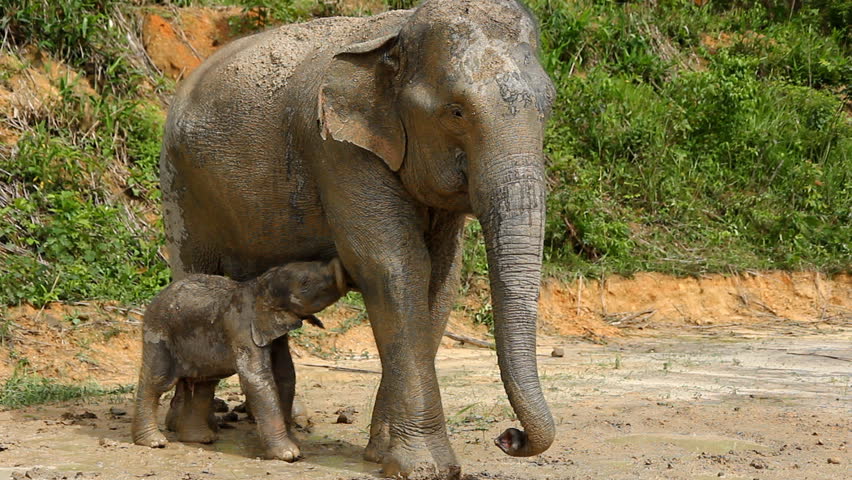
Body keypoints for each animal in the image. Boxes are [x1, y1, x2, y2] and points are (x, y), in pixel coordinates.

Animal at [131, 258, 344, 462]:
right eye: (305, 282)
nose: (338, 263)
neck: (259, 286)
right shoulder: (242, 328)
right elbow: (256, 380)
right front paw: (289, 455)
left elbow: (285, 374)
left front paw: (293, 445)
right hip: (159, 332)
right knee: (158, 380)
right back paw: (154, 442)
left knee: (203, 384)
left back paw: (201, 439)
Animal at [160, 0, 556, 474]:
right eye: (456, 112)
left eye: (550, 104)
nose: (508, 437)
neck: (396, 34)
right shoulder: (338, 150)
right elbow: (393, 266)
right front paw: (425, 468)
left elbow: (440, 278)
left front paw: (381, 453)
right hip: (182, 186)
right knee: (195, 276)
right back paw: (189, 431)